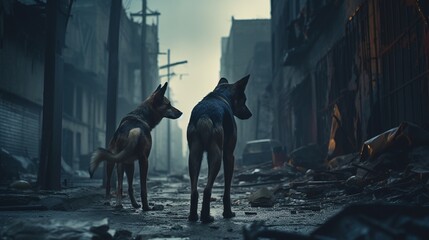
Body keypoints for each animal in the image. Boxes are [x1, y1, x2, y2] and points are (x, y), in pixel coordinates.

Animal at [89, 82, 181, 210]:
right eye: (168, 105)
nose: (181, 113)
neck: (140, 115)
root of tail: (132, 131)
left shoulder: (128, 162)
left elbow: (128, 185)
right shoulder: (142, 160)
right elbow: (141, 187)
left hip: (121, 161)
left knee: (121, 185)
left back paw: (120, 203)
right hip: (134, 161)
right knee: (115, 184)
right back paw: (144, 206)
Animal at [186, 75, 251, 223]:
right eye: (244, 99)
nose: (250, 114)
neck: (221, 95)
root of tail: (205, 115)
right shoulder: (229, 155)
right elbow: (227, 189)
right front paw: (228, 213)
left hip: (194, 155)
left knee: (194, 190)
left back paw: (193, 216)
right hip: (216, 155)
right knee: (207, 189)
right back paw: (206, 216)